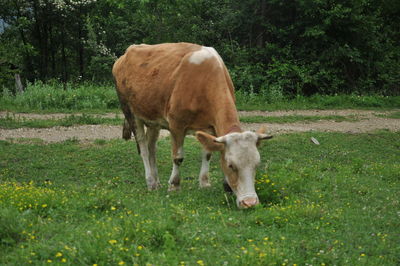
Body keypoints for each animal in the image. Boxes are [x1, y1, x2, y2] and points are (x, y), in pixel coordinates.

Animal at [114, 42, 274, 208]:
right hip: (130, 111)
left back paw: (156, 181)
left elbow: (208, 153)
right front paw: (174, 185)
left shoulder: (210, 127)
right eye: (231, 165)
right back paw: (150, 182)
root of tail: (126, 54)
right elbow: (178, 157)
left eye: (257, 164)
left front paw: (205, 183)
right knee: (143, 148)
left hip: (153, 118)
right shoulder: (176, 124)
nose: (250, 202)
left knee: (152, 147)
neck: (203, 81)